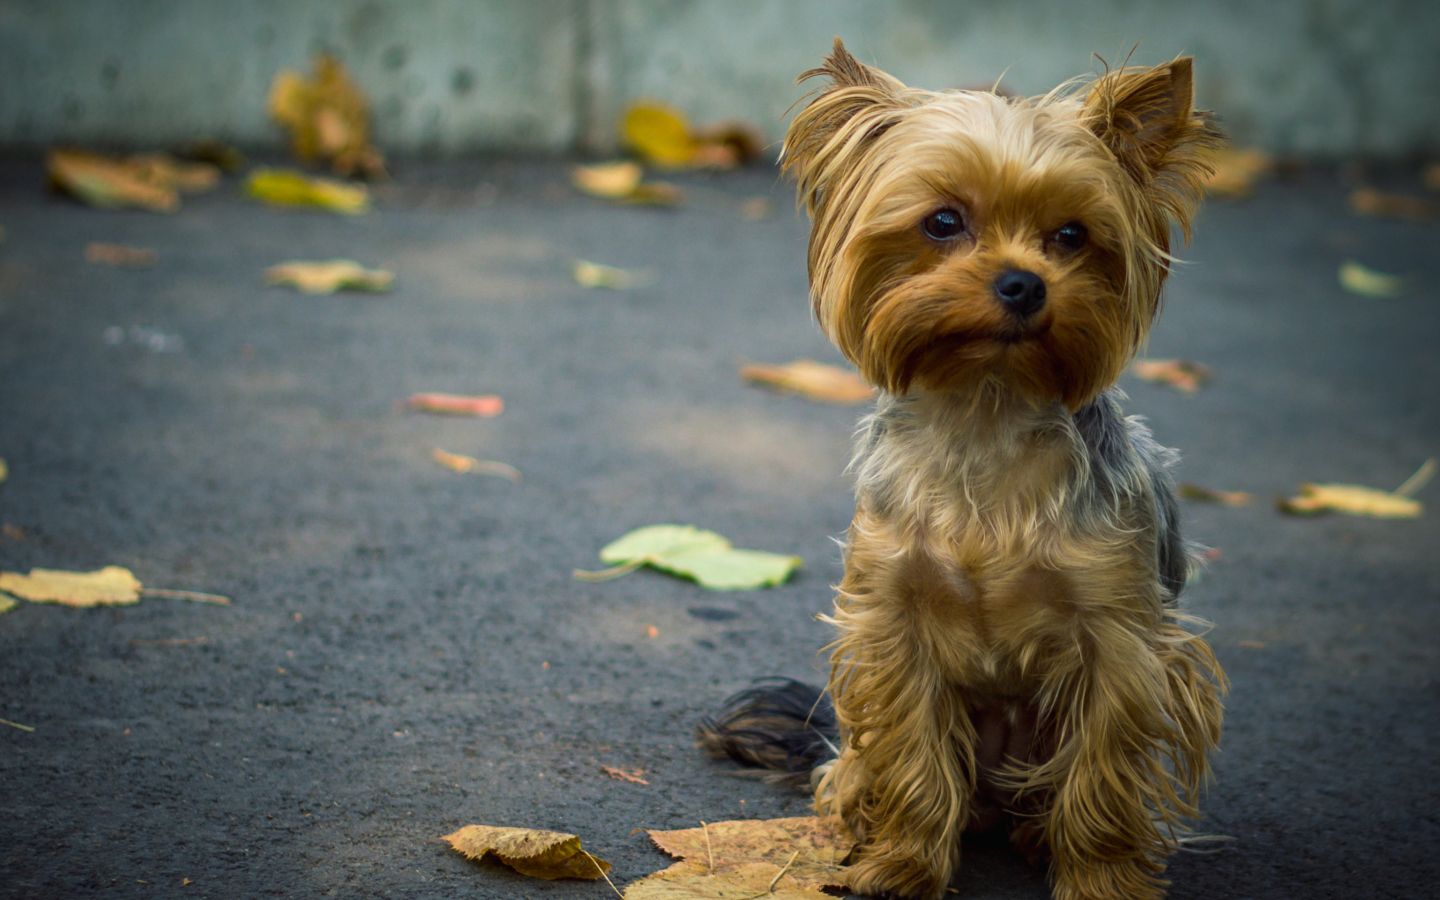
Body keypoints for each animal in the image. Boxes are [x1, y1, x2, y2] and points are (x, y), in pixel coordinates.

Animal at [696, 38, 1226, 892]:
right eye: (943, 221)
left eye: (1072, 235)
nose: (1023, 283)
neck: (986, 410)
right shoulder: (894, 627)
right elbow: (914, 759)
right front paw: (901, 867)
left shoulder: (1123, 641)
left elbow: (1103, 774)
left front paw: (1102, 882)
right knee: (861, 768)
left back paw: (1039, 836)